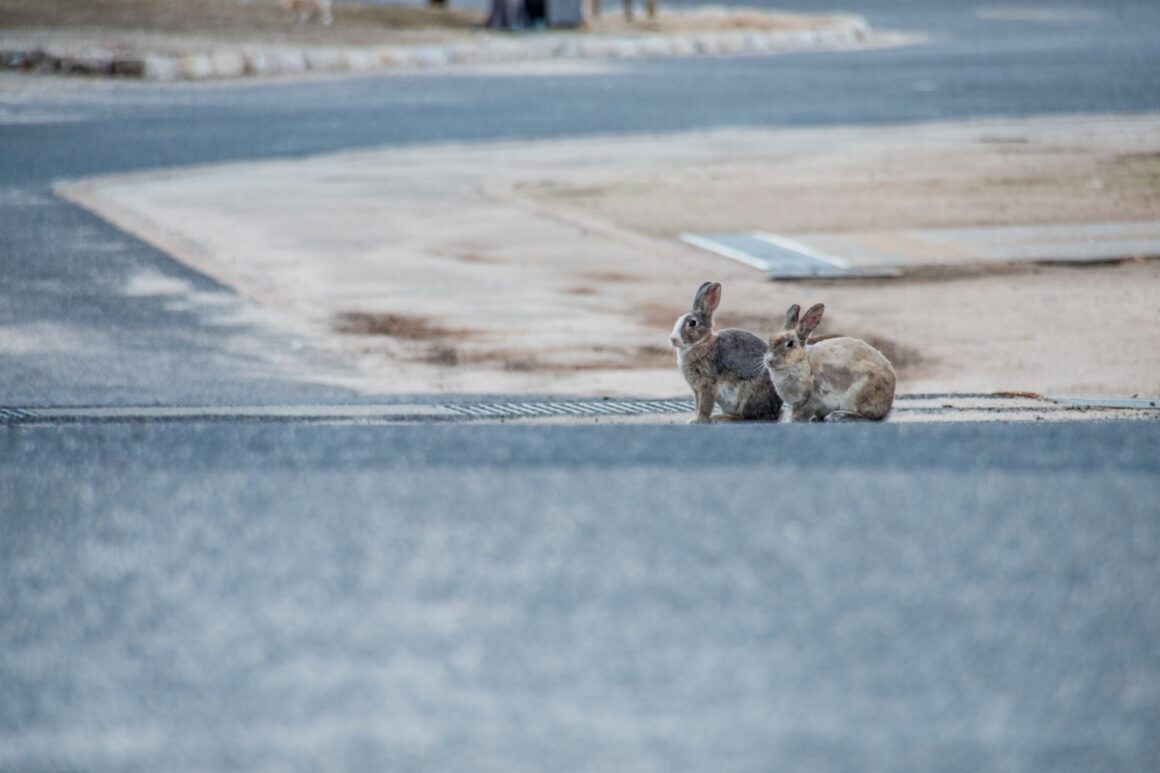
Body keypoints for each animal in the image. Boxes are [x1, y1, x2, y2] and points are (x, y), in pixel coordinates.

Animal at [668, 279, 784, 422]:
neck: (700, 342)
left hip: (747, 394)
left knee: (746, 416)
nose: (673, 339)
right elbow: (697, 404)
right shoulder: (696, 389)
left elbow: (704, 406)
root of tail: (776, 410)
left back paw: (721, 417)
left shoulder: (707, 384)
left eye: (692, 323)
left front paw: (697, 421)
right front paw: (694, 418)